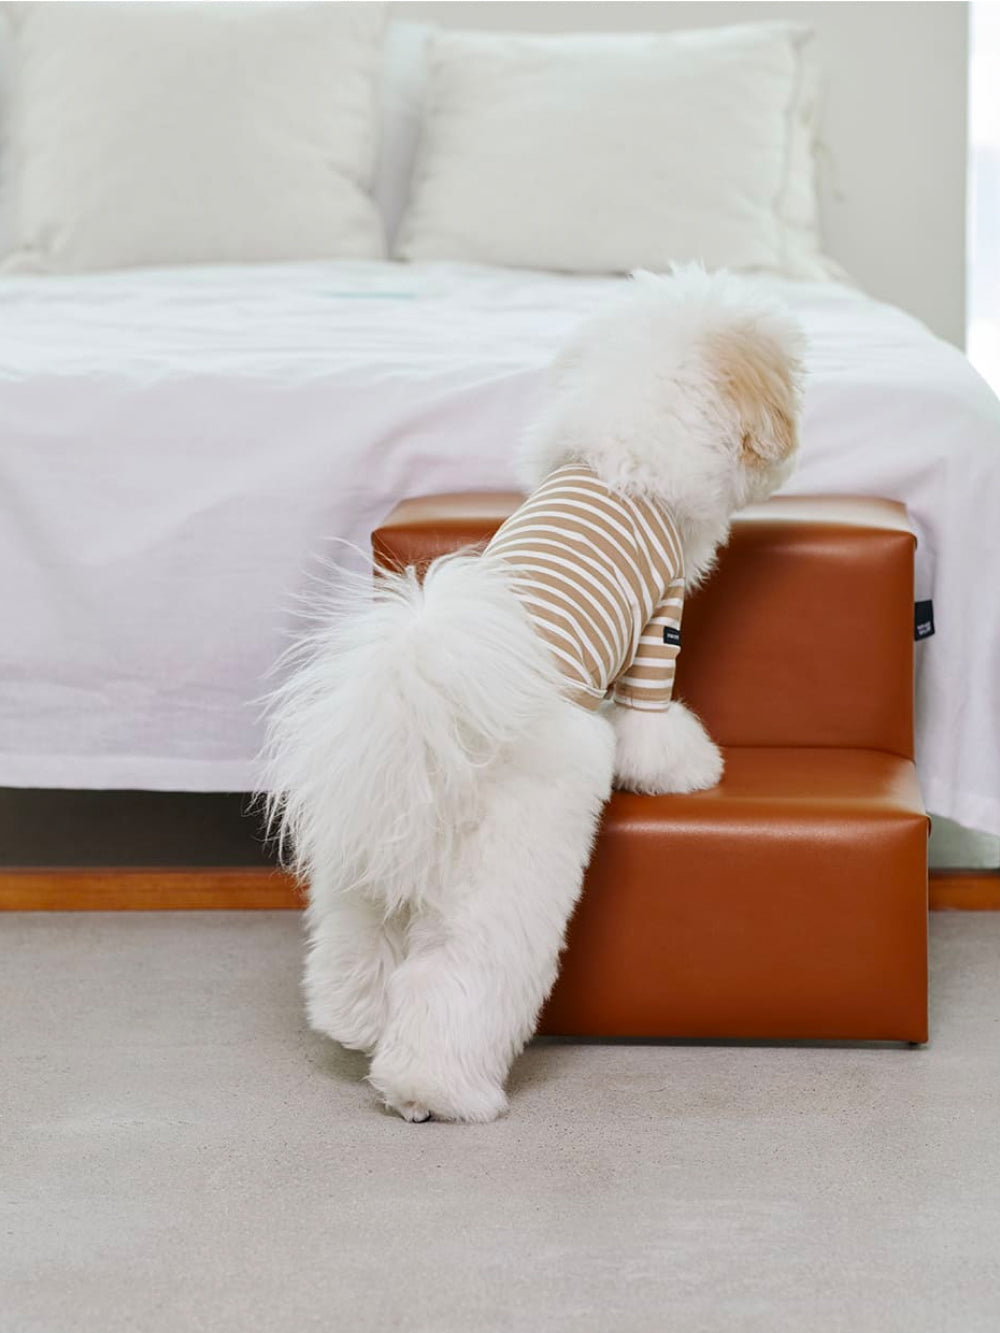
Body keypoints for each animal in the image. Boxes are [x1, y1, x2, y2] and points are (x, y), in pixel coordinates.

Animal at [264, 267, 805, 1125]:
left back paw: (358, 1032)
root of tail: (425, 726)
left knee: (361, 957)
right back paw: (440, 1092)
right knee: (456, 985)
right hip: (504, 877)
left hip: (365, 871)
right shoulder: (660, 621)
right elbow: (651, 722)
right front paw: (683, 768)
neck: (622, 447)